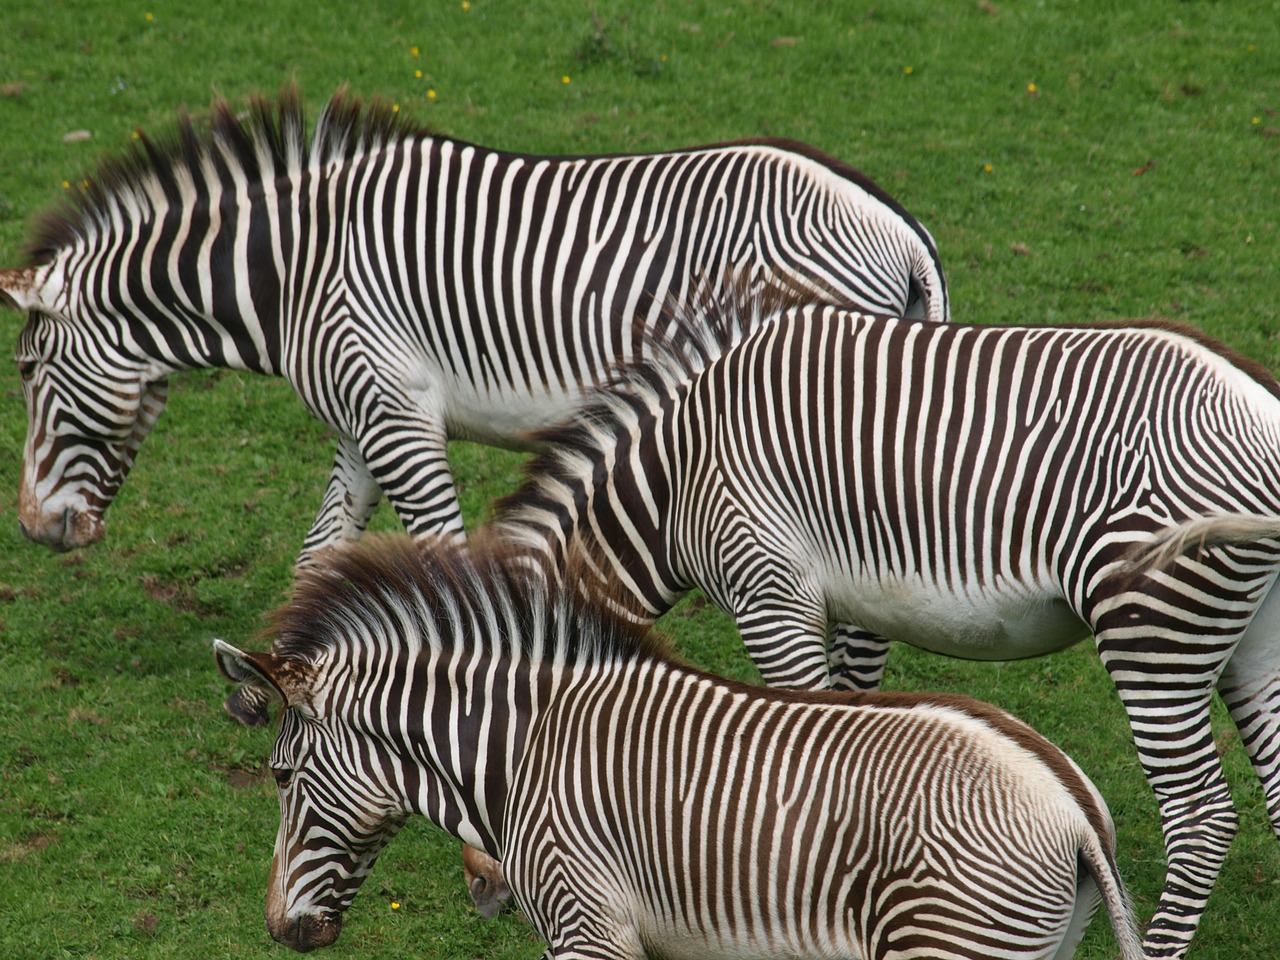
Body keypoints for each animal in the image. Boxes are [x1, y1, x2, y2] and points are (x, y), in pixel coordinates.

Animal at [491, 291, 1280, 957]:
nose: (487, 894)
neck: (678, 474)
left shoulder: (770, 591)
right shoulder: (859, 606)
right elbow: (851, 706)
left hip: (1152, 625)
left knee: (1201, 814)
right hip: (1252, 637)